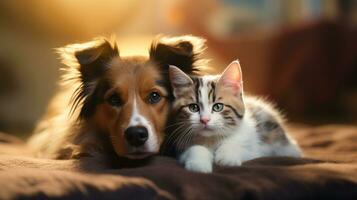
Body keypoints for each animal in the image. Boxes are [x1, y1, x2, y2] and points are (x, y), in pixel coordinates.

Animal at [164, 60, 300, 173]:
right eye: (193, 108)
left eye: (218, 107)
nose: (205, 120)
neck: (213, 139)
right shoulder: (181, 145)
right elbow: (194, 149)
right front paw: (198, 164)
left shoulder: (256, 149)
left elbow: (240, 147)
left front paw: (226, 158)